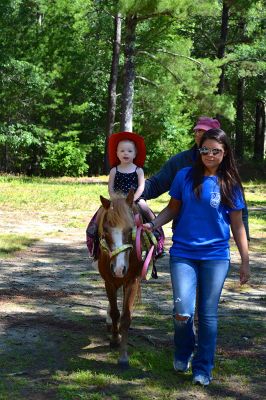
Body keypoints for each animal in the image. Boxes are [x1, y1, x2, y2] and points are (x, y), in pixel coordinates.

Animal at [97, 189, 152, 368]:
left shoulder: (132, 281)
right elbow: (115, 313)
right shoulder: (109, 281)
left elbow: (126, 317)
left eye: (131, 230)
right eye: (105, 230)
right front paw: (115, 339)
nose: (119, 269)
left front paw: (123, 357)